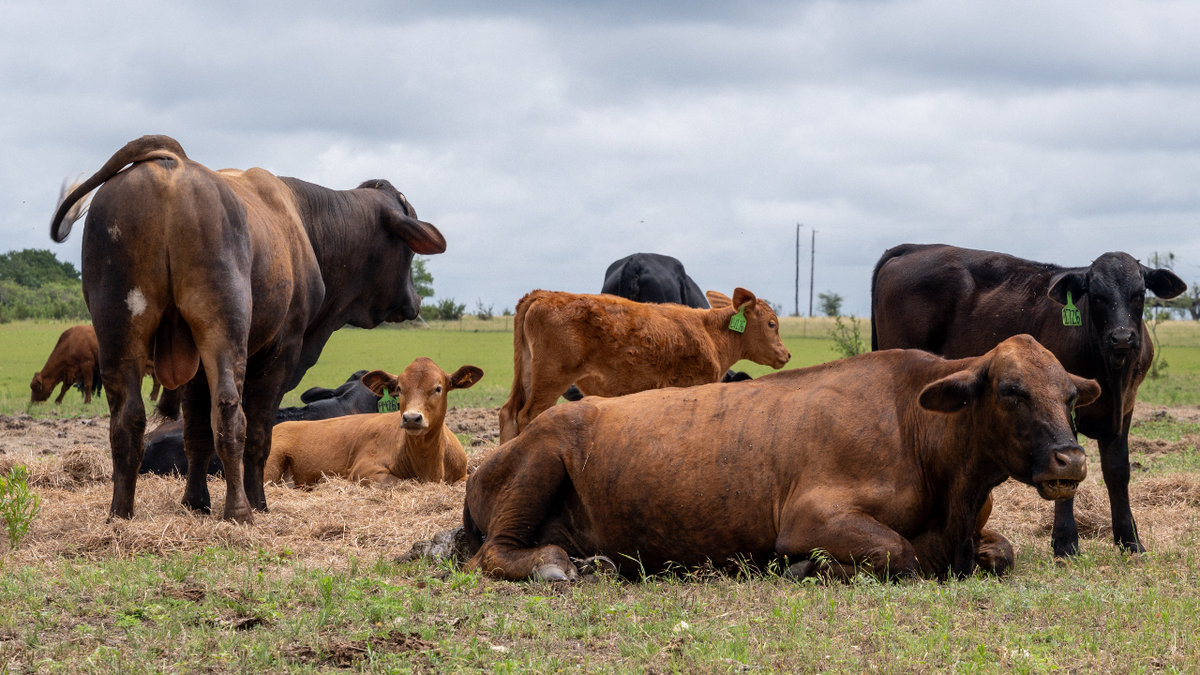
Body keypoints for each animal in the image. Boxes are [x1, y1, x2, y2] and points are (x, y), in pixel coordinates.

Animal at [265, 358, 483, 486]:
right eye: (400, 388)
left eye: (438, 388)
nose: (412, 418)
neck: (430, 464)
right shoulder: (363, 471)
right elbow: (402, 483)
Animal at [465, 335, 1099, 582]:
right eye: (1011, 390)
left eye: (1070, 396)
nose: (1070, 460)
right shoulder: (810, 518)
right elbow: (899, 554)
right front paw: (806, 569)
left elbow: (1004, 551)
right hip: (542, 458)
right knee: (494, 553)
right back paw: (556, 566)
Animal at [498, 287, 790, 443]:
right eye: (772, 324)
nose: (786, 354)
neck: (710, 332)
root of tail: (542, 295)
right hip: (551, 378)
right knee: (527, 416)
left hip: (527, 372)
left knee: (508, 413)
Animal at [870, 244, 1187, 556]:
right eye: (1096, 295)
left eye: (1140, 293)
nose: (1122, 337)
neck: (1110, 373)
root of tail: (913, 249)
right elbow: (1064, 467)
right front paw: (1066, 543)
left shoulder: (1124, 408)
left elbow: (1118, 471)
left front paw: (1130, 541)